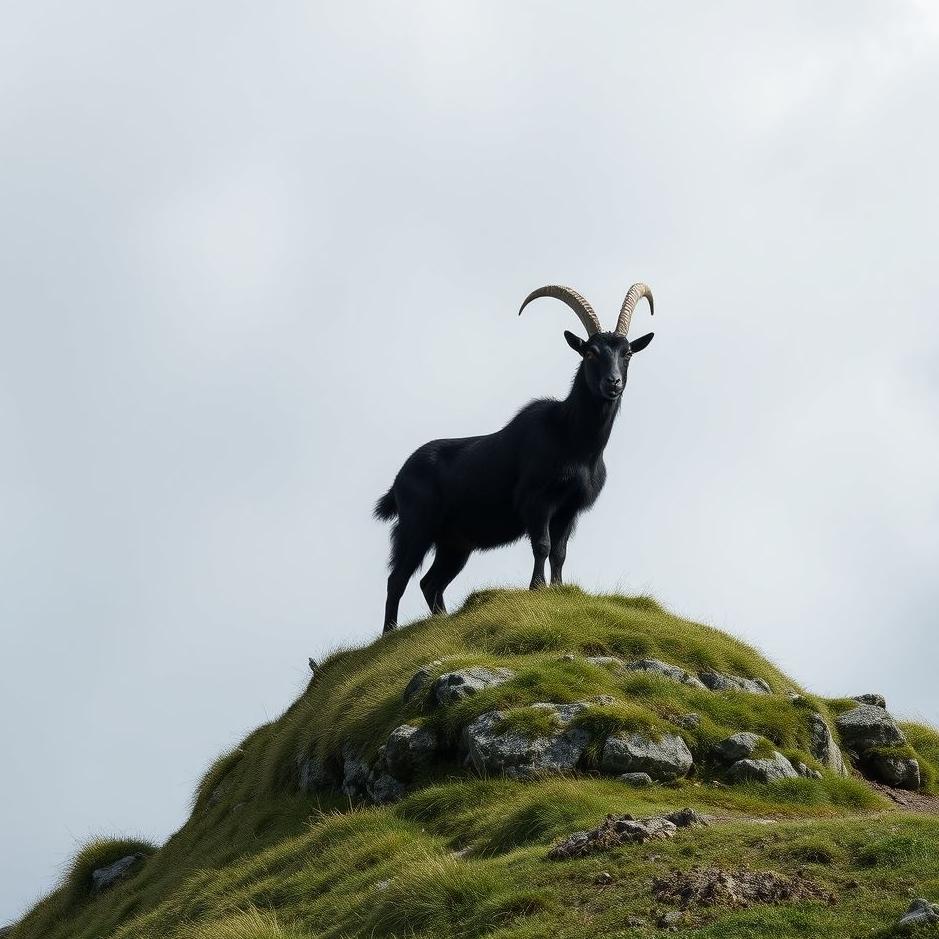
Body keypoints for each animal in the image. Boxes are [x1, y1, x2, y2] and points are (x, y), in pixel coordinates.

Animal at [375, 283, 655, 633]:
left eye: (627, 352)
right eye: (590, 352)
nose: (613, 383)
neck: (571, 437)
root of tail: (398, 481)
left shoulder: (569, 509)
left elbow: (560, 552)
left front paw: (558, 589)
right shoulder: (537, 500)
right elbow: (542, 545)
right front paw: (536, 589)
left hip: (455, 543)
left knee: (430, 582)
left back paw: (439, 622)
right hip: (417, 525)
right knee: (397, 578)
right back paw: (389, 633)